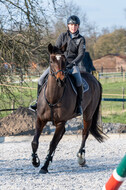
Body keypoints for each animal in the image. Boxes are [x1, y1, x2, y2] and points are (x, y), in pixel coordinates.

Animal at [31, 43, 105, 174]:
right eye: (51, 61)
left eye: (65, 61)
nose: (61, 80)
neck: (53, 98)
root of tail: (95, 80)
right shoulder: (40, 119)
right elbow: (35, 142)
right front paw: (35, 161)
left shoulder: (60, 122)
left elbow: (52, 144)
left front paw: (44, 167)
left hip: (88, 115)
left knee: (84, 134)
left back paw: (81, 158)